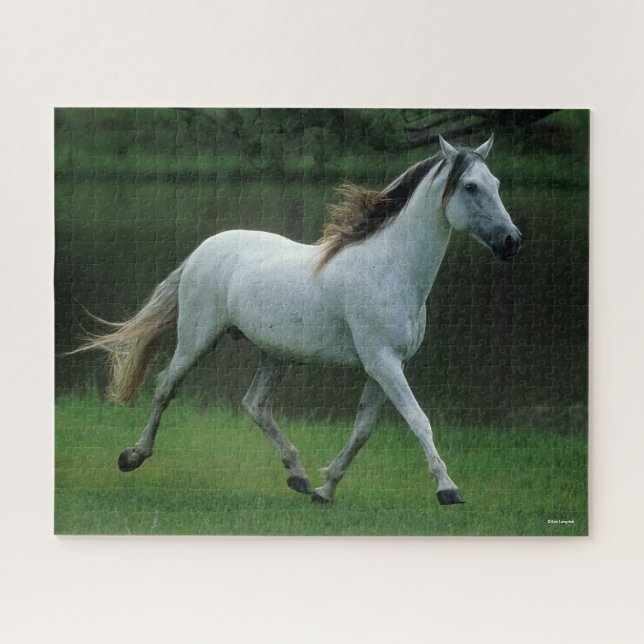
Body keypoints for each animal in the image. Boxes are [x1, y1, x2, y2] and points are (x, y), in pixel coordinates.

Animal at [74, 135, 522, 505]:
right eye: (471, 187)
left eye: (497, 183)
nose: (511, 241)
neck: (390, 269)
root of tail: (204, 248)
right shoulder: (382, 361)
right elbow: (419, 420)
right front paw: (448, 489)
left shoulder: (385, 366)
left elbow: (363, 430)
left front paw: (326, 489)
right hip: (197, 338)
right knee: (166, 387)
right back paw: (133, 456)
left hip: (274, 353)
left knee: (255, 404)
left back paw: (299, 476)